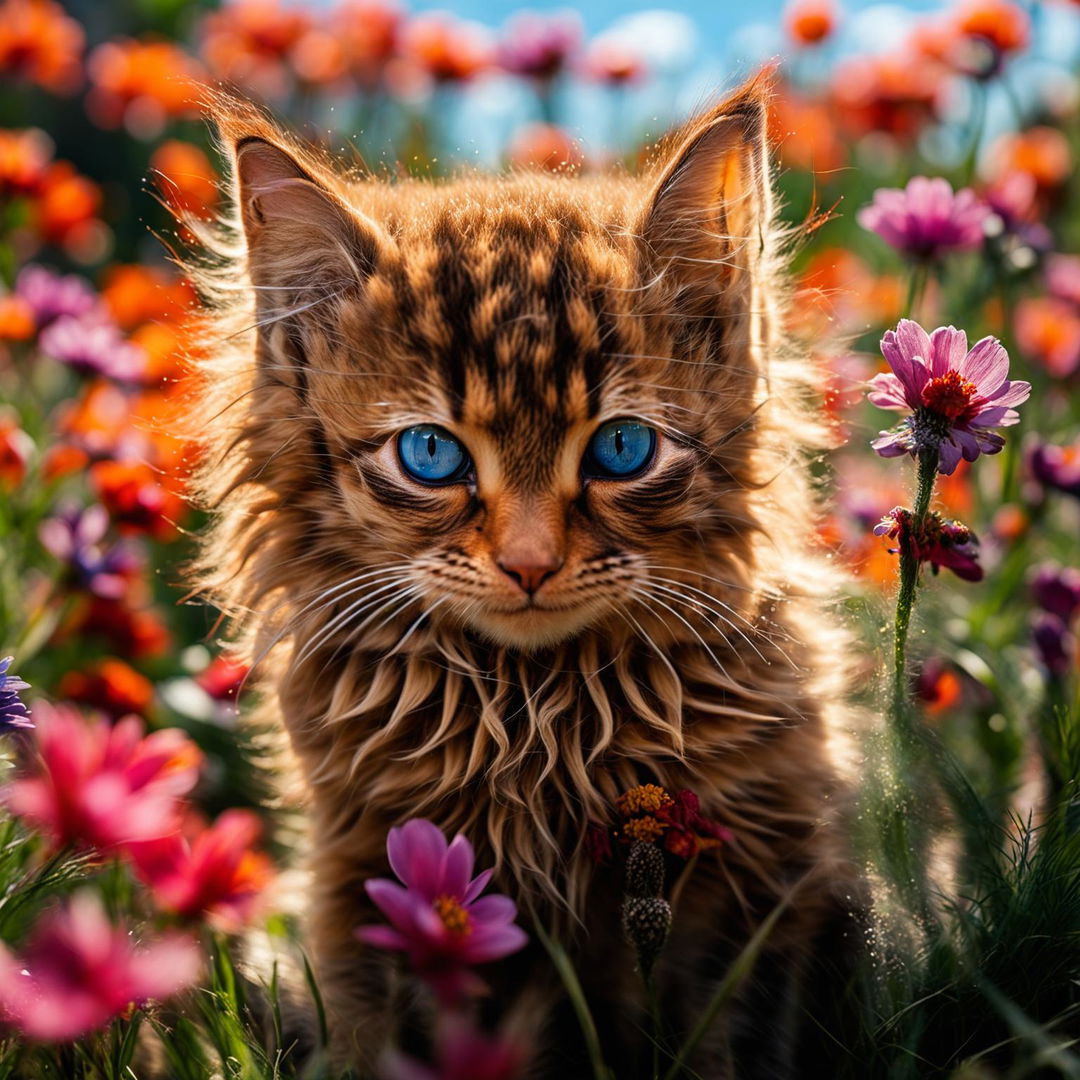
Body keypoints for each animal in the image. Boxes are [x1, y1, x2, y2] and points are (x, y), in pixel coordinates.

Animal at [187, 71, 859, 1075]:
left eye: (622, 449)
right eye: (430, 454)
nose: (531, 562)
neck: (533, 713)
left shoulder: (760, 880)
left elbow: (724, 1041)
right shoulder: (363, 882)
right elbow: (373, 1037)